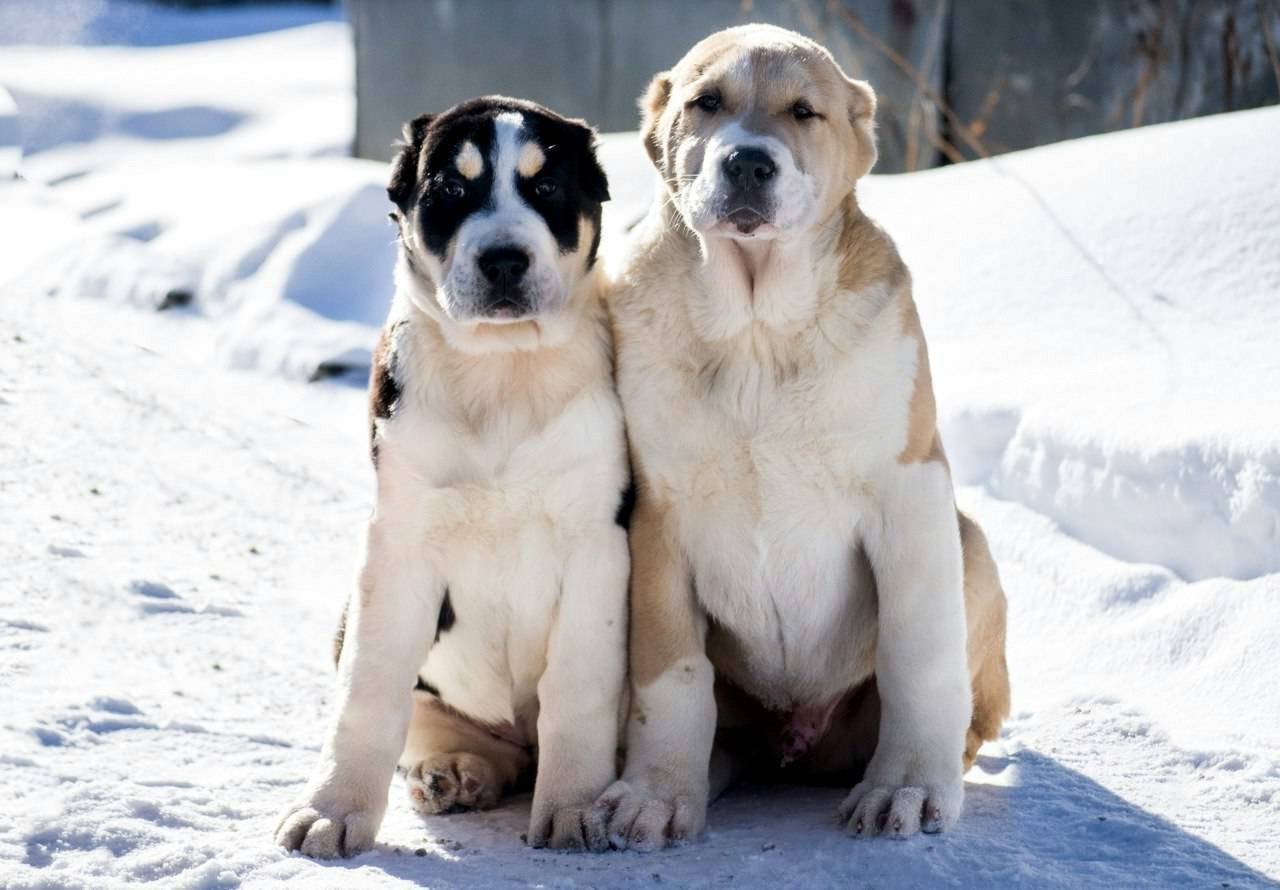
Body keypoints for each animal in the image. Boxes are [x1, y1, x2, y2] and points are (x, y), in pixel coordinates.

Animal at [276, 96, 629, 855]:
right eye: (449, 191)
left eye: (547, 186)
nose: (503, 259)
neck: (501, 372)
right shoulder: (398, 542)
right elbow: (369, 691)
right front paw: (332, 811)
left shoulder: (596, 544)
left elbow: (578, 688)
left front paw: (575, 808)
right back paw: (457, 772)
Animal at [596, 27, 1008, 850]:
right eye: (707, 103)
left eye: (804, 112)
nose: (748, 162)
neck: (757, 331)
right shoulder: (658, 516)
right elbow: (671, 672)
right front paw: (656, 795)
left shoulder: (910, 492)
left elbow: (918, 654)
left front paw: (908, 789)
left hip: (971, 544)